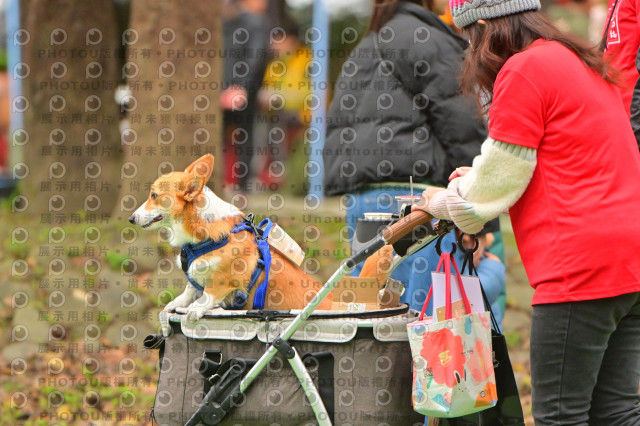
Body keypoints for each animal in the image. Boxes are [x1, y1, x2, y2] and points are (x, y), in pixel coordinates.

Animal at [129, 154, 395, 321]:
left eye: (154, 195)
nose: (131, 219)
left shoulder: (225, 280)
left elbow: (208, 294)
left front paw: (195, 309)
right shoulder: (196, 277)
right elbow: (188, 290)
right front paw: (176, 305)